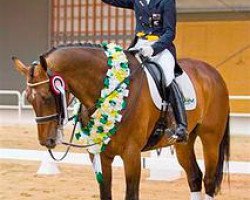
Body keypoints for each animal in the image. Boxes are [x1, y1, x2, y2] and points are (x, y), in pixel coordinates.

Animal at [12, 43, 229, 199]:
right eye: (29, 99)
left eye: (48, 96)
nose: (46, 141)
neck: (108, 88)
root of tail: (212, 72)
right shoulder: (99, 155)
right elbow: (105, 194)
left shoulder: (131, 154)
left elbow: (131, 195)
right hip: (184, 141)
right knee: (194, 177)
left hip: (211, 138)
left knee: (209, 180)